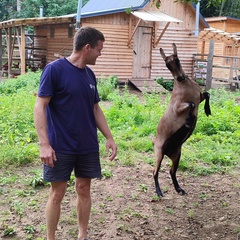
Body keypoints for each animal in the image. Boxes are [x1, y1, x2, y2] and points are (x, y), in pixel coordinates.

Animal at [153, 42, 211, 197]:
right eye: (166, 64)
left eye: (178, 59)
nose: (179, 78)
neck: (185, 86)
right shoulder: (177, 107)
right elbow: (191, 105)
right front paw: (189, 121)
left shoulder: (199, 97)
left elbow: (206, 94)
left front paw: (207, 111)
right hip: (159, 152)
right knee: (155, 172)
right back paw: (159, 192)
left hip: (177, 154)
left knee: (172, 171)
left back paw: (179, 189)